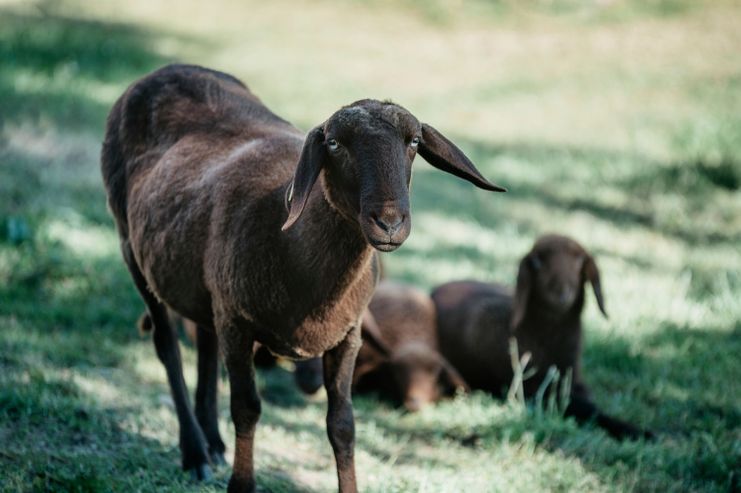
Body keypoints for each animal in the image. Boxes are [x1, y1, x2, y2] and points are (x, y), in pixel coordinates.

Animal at [430, 233, 652, 440]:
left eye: (580, 261)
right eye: (537, 263)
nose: (562, 293)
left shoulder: (574, 382)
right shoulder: (534, 391)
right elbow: (585, 409)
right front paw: (638, 431)